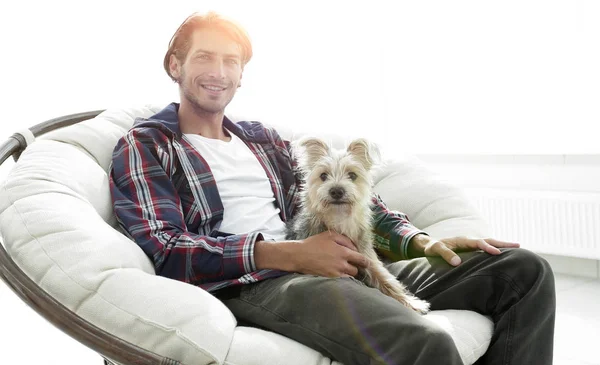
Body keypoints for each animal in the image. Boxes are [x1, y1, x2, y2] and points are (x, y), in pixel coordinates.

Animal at [288, 136, 432, 312]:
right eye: (323, 176)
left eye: (352, 175)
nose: (336, 190)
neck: (339, 218)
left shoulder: (366, 256)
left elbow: (386, 278)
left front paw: (411, 302)